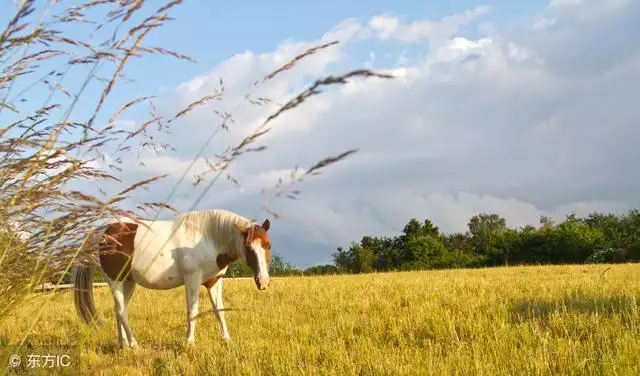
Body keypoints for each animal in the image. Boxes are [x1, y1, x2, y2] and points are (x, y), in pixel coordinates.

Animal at [72, 209, 272, 346]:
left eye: (268, 245)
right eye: (248, 247)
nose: (263, 281)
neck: (209, 237)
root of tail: (102, 233)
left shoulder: (214, 281)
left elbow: (219, 310)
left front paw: (226, 339)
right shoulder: (192, 279)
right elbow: (192, 310)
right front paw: (189, 341)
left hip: (128, 283)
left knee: (118, 310)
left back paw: (123, 344)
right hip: (115, 281)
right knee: (121, 311)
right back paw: (134, 344)